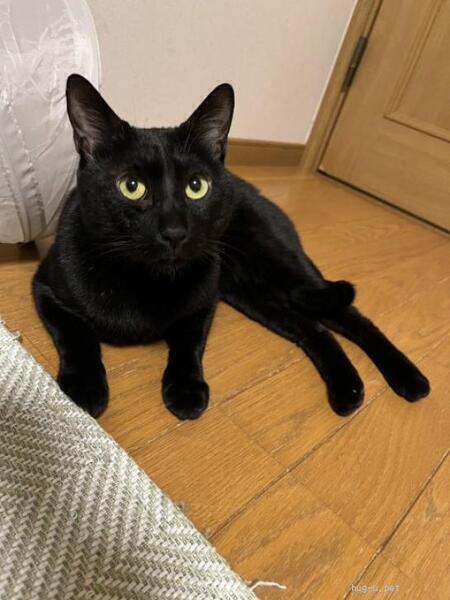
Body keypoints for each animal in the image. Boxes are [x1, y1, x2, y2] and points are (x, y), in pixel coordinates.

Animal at [32, 74, 430, 420]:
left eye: (196, 186)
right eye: (131, 186)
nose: (174, 231)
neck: (145, 281)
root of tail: (253, 188)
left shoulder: (203, 303)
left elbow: (188, 343)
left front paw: (187, 389)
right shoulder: (46, 288)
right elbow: (78, 335)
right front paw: (83, 389)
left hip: (281, 265)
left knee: (349, 314)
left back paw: (409, 378)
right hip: (253, 294)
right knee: (315, 328)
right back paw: (348, 389)